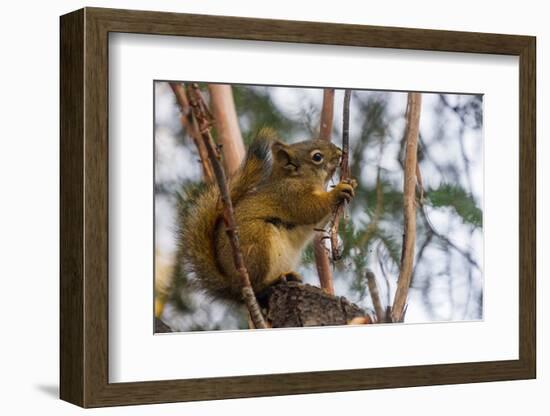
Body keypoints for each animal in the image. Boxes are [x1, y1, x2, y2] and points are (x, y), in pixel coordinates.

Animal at [177, 127, 358, 302]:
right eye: (317, 157)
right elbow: (309, 209)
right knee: (257, 286)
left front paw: (351, 183)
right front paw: (337, 192)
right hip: (257, 242)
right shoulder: (289, 196)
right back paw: (272, 281)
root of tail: (233, 285)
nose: (339, 152)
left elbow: (319, 222)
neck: (296, 178)